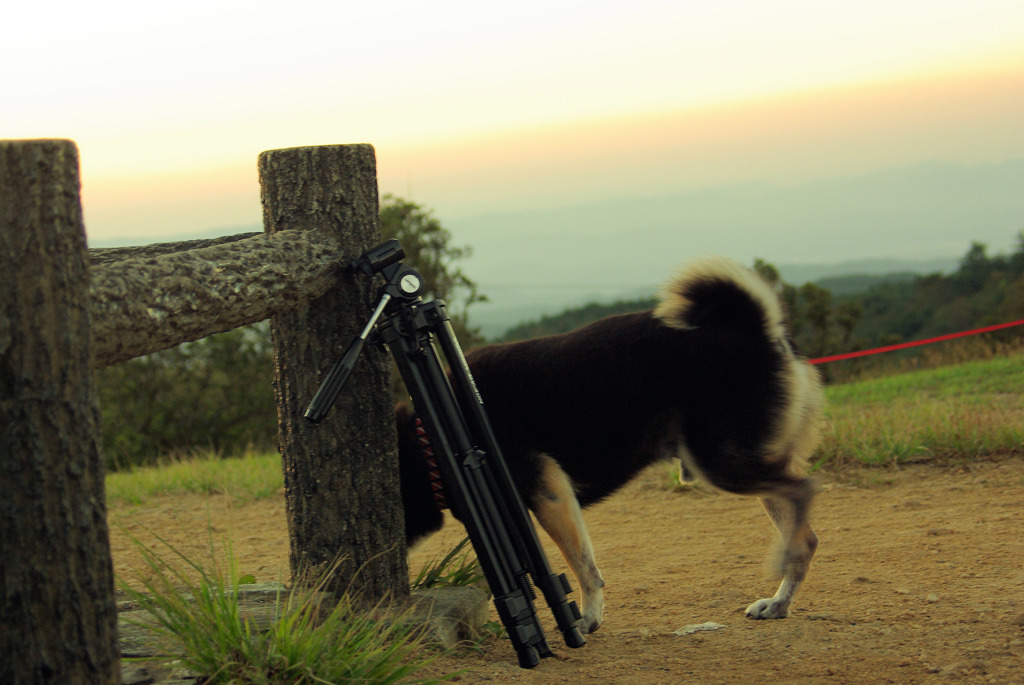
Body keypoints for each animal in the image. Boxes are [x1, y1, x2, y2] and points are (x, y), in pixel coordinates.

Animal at [393, 258, 823, 634]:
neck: (432, 438)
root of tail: (757, 329)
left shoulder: (549, 493)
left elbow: (582, 567)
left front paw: (586, 618)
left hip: (723, 462)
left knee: (804, 493)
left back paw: (781, 564)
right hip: (748, 460)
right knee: (805, 536)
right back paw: (778, 603)